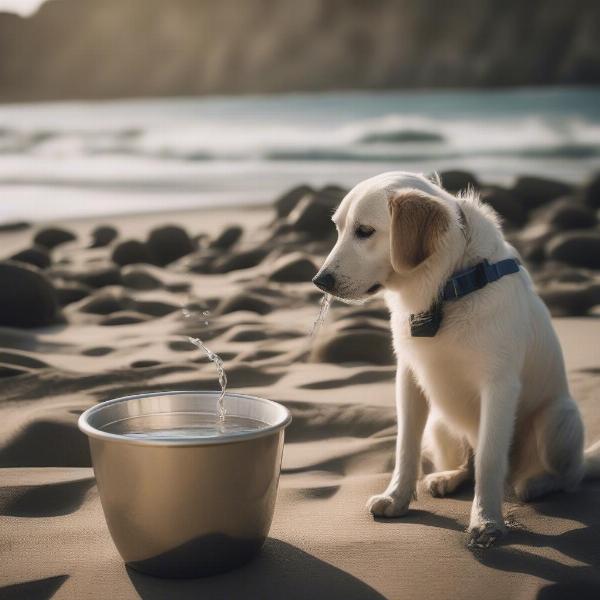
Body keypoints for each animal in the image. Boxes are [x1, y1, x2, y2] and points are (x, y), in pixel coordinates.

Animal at [312, 170, 600, 548]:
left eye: (364, 231)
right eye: (339, 228)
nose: (319, 280)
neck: (446, 288)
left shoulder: (499, 386)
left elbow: (491, 460)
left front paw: (486, 521)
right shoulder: (409, 378)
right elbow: (406, 446)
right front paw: (396, 497)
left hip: (557, 421)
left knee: (568, 475)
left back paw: (536, 483)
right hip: (441, 423)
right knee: (469, 462)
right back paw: (449, 477)